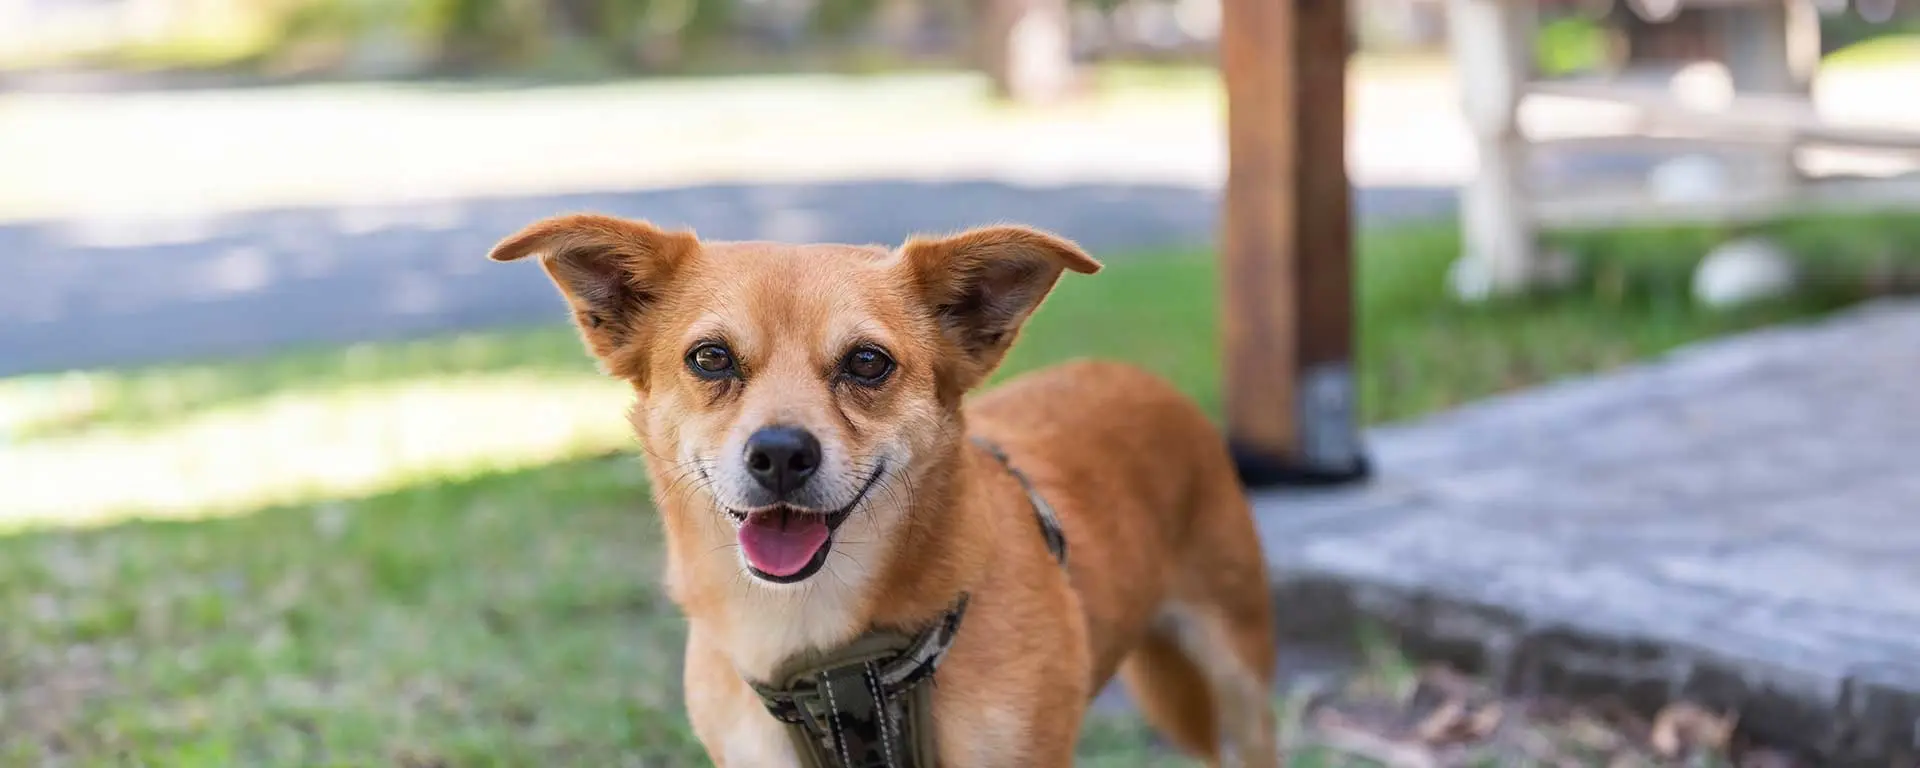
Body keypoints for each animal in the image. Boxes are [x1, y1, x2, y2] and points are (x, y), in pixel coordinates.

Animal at [490, 214, 1280, 767]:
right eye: (710, 359)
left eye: (867, 363)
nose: (780, 453)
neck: (819, 642)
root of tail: (1133, 374)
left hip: (1238, 668)